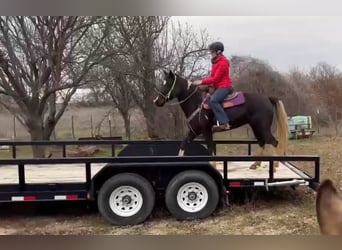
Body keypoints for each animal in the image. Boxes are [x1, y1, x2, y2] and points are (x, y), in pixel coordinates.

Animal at [154, 70, 288, 172]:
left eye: (167, 84)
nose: (156, 101)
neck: (196, 102)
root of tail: (267, 98)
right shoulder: (194, 131)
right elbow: (183, 146)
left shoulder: (206, 130)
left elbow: (210, 148)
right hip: (256, 127)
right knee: (262, 142)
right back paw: (255, 164)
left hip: (262, 128)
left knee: (274, 142)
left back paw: (274, 166)